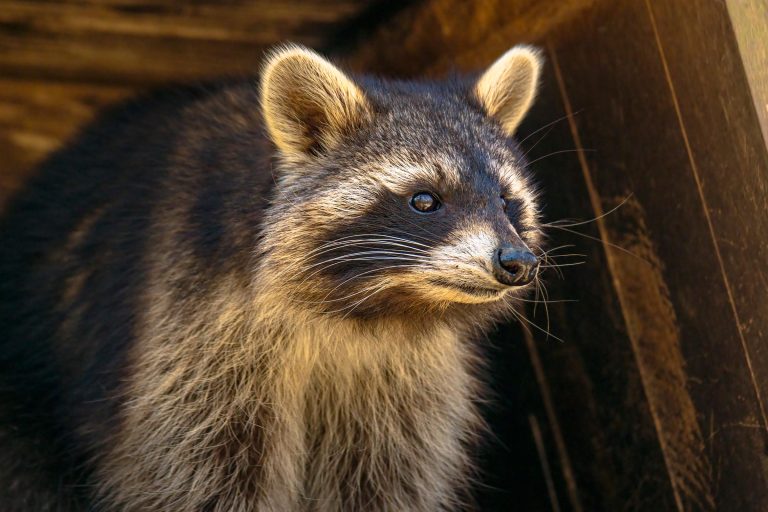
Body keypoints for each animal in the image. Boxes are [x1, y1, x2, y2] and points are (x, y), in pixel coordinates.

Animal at [0, 44, 543, 511]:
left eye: (506, 202)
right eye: (425, 200)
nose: (515, 261)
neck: (362, 311)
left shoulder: (407, 383)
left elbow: (386, 477)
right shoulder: (194, 328)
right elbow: (195, 473)